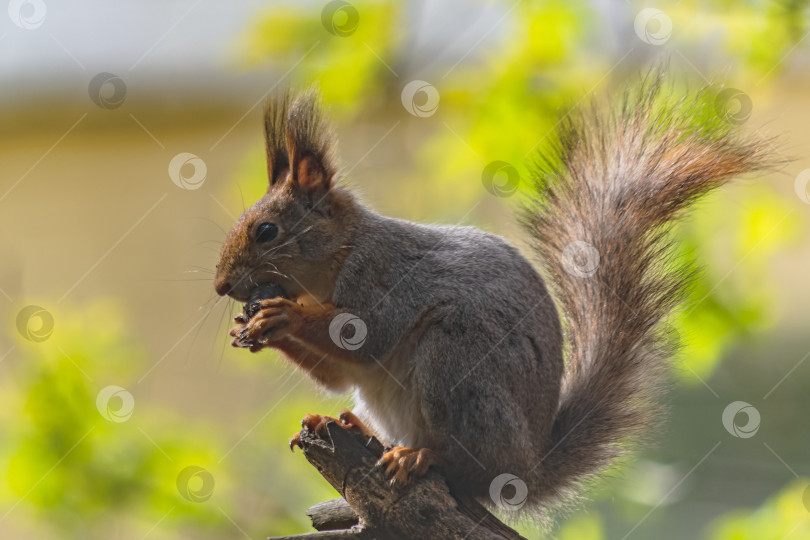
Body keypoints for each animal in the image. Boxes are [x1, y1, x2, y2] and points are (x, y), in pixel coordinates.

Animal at [211, 77, 768, 520]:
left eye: (266, 230)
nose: (220, 286)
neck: (338, 258)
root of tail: (527, 468)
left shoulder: (383, 280)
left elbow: (361, 337)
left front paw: (279, 315)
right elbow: (338, 374)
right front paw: (254, 329)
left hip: (457, 364)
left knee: (469, 473)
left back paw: (422, 457)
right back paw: (353, 426)